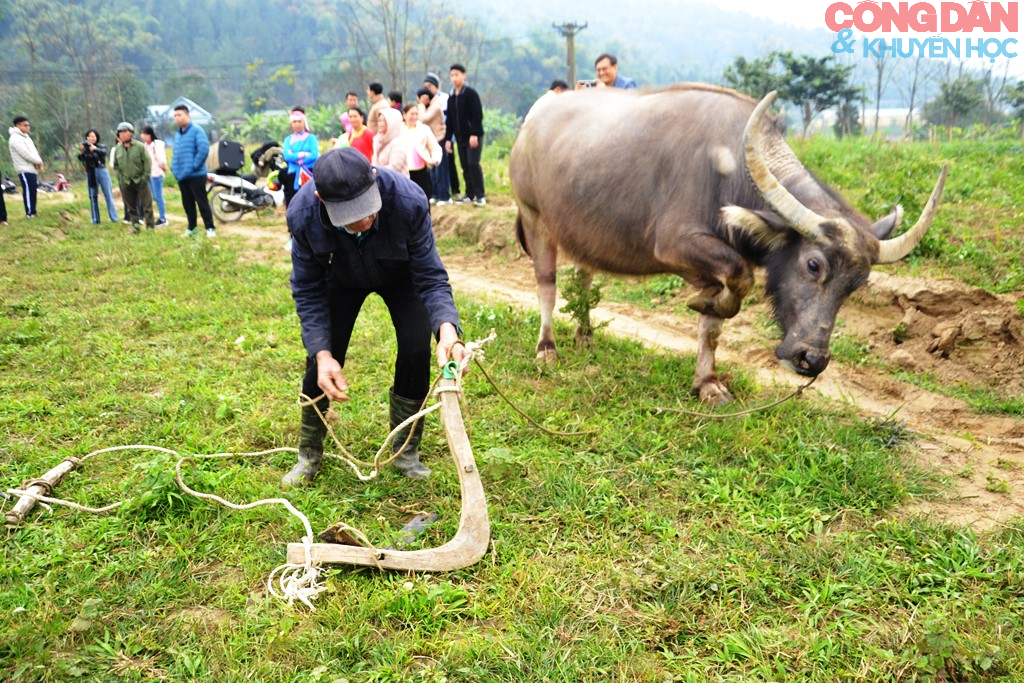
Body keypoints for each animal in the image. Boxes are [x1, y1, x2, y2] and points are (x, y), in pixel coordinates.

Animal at [507, 85, 946, 405]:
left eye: (856, 285)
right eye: (813, 265)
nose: (812, 360)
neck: (732, 168)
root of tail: (532, 121)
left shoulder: (707, 263)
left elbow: (713, 323)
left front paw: (707, 381)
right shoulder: (675, 244)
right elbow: (741, 276)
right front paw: (705, 308)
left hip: (582, 233)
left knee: (583, 280)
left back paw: (585, 336)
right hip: (534, 217)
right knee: (547, 285)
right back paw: (547, 348)